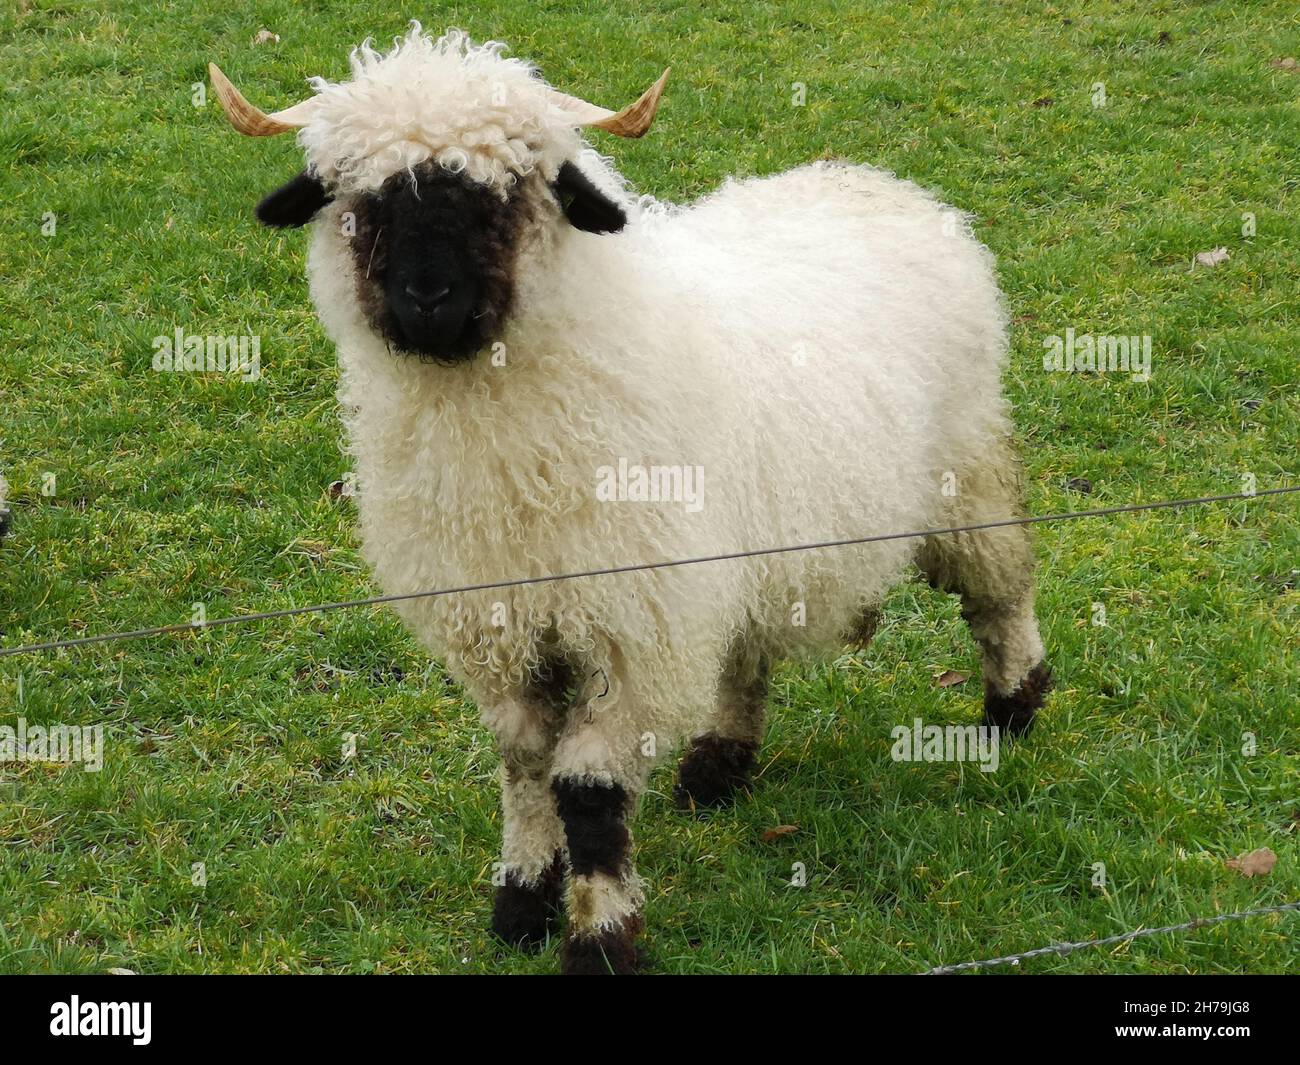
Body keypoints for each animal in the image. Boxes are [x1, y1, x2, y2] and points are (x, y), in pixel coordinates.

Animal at [211, 23, 1051, 974]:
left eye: (510, 193)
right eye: (361, 201)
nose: (427, 300)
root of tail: (880, 183)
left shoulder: (632, 626)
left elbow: (587, 790)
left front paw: (600, 936)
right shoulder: (508, 623)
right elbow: (523, 764)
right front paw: (521, 903)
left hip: (964, 470)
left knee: (999, 585)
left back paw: (1013, 706)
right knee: (747, 647)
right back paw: (719, 763)